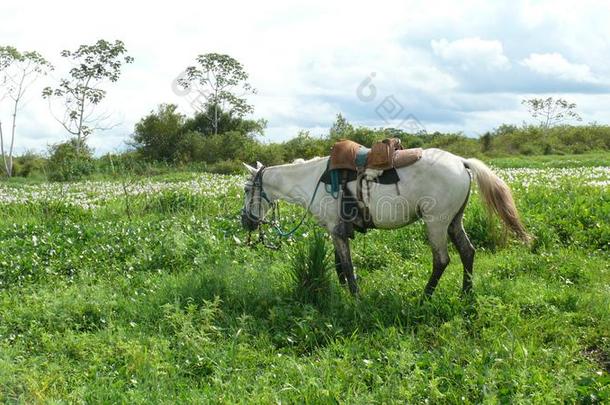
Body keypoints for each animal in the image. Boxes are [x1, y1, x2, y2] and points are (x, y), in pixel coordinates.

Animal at [241, 148, 528, 296]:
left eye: (245, 189)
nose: (246, 222)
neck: (313, 180)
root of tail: (461, 161)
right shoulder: (337, 231)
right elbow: (339, 266)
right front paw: (344, 294)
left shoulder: (336, 230)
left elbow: (347, 267)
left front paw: (354, 299)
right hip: (454, 221)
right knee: (468, 252)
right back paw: (466, 294)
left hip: (436, 223)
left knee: (442, 260)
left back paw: (425, 297)